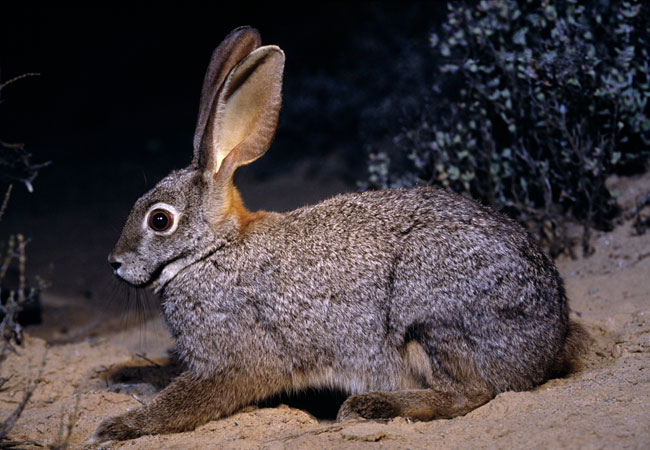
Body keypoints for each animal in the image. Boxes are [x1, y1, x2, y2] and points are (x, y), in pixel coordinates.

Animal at [90, 26, 586, 443]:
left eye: (159, 220)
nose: (115, 263)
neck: (213, 250)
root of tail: (549, 341)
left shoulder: (229, 359)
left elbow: (180, 405)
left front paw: (116, 427)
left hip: (432, 320)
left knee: (470, 393)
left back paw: (369, 407)